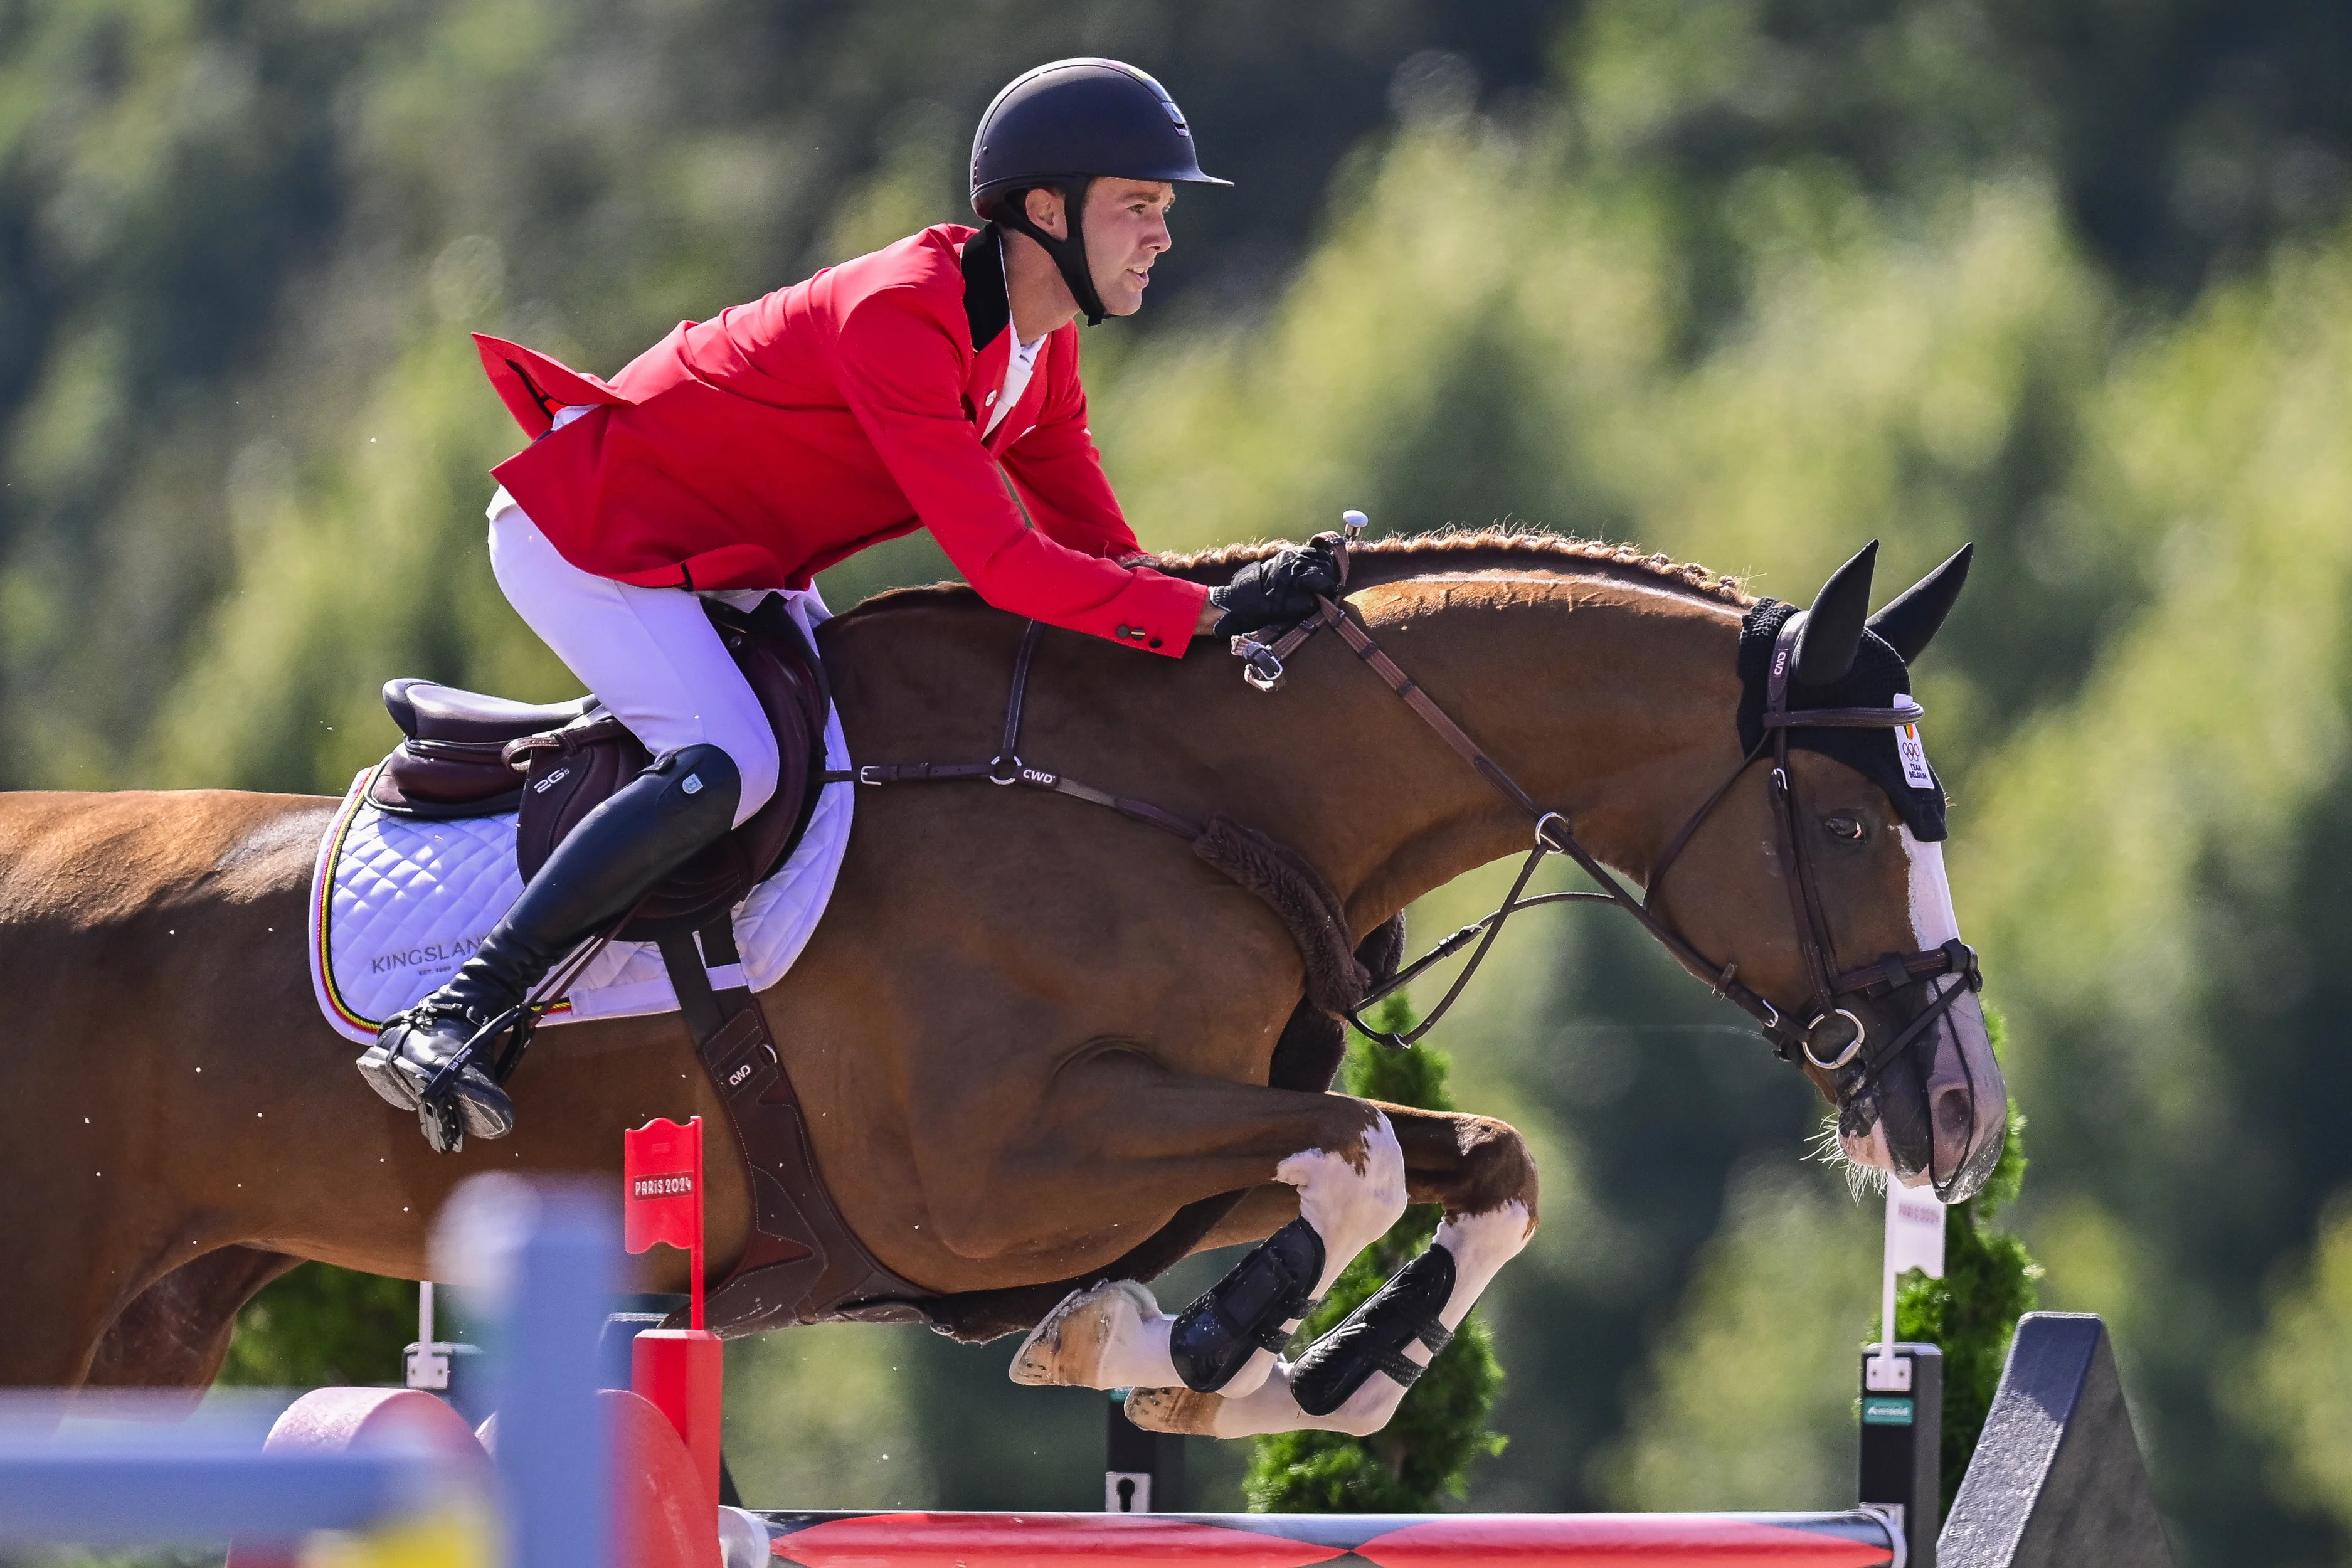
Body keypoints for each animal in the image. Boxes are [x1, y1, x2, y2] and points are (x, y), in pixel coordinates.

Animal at [0, 533, 2004, 1438]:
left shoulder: (1147, 1141)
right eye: (1844, 822)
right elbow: (1355, 1153)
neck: (1201, 790)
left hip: (155, 1329)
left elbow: (1474, 1159)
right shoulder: (988, 1177)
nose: (1957, 1111)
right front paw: (1194, 1349)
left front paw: (1315, 1372)